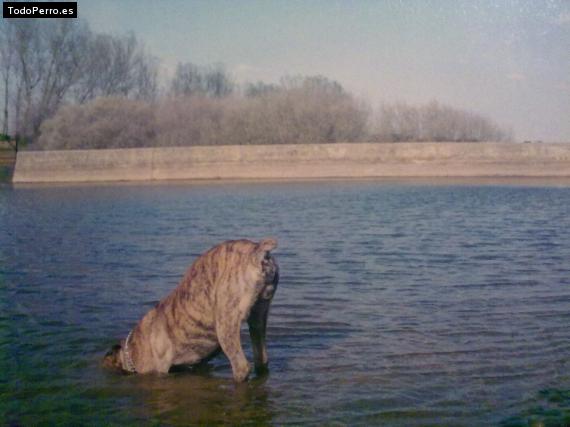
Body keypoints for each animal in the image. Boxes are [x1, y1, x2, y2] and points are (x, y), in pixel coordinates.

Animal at [104, 239, 280, 382]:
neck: (130, 350)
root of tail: (257, 250)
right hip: (258, 318)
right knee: (262, 359)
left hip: (226, 324)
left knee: (242, 367)